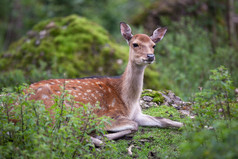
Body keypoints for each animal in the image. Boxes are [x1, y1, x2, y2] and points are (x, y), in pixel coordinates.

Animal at [28, 22, 183, 145]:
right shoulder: (109, 115)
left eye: (154, 45)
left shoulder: (138, 114)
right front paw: (104, 133)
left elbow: (166, 120)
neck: (129, 101)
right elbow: (134, 125)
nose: (150, 56)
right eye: (135, 44)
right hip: (60, 111)